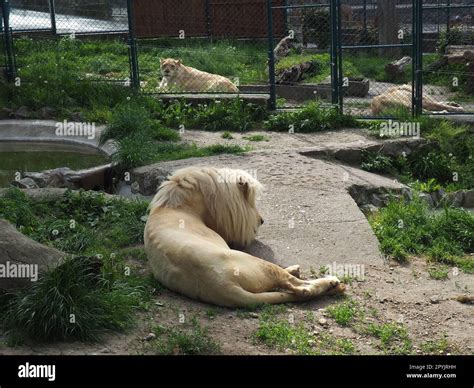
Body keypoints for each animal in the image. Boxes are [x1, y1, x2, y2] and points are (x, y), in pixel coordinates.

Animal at [144, 168, 344, 308]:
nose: (262, 220)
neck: (173, 206)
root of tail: (222, 287)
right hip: (257, 263)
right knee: (301, 288)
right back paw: (332, 283)